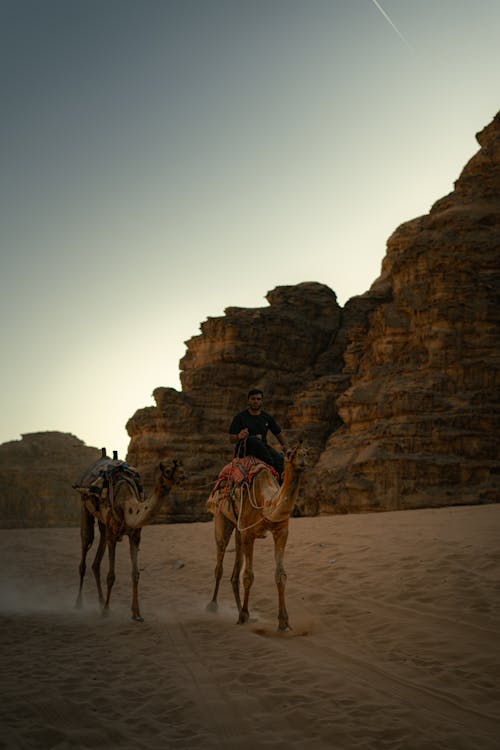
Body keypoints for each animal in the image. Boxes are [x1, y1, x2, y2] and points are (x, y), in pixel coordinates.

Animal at [73, 452, 185, 624]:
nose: (183, 476)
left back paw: (100, 602)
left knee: (96, 562)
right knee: (85, 546)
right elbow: (111, 576)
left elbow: (135, 574)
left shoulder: (135, 536)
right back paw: (79, 603)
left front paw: (136, 614)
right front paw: (106, 611)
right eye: (167, 471)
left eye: (181, 468)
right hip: (85, 506)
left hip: (103, 524)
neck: (127, 503)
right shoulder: (113, 535)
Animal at [205, 446, 306, 636]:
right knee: (220, 562)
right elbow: (248, 576)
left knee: (234, 573)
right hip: (222, 518)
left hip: (238, 529)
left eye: (306, 452)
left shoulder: (281, 532)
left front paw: (284, 623)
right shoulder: (249, 534)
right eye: (290, 454)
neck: (266, 501)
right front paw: (244, 615)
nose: (302, 459)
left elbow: (280, 575)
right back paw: (213, 606)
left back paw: (241, 612)